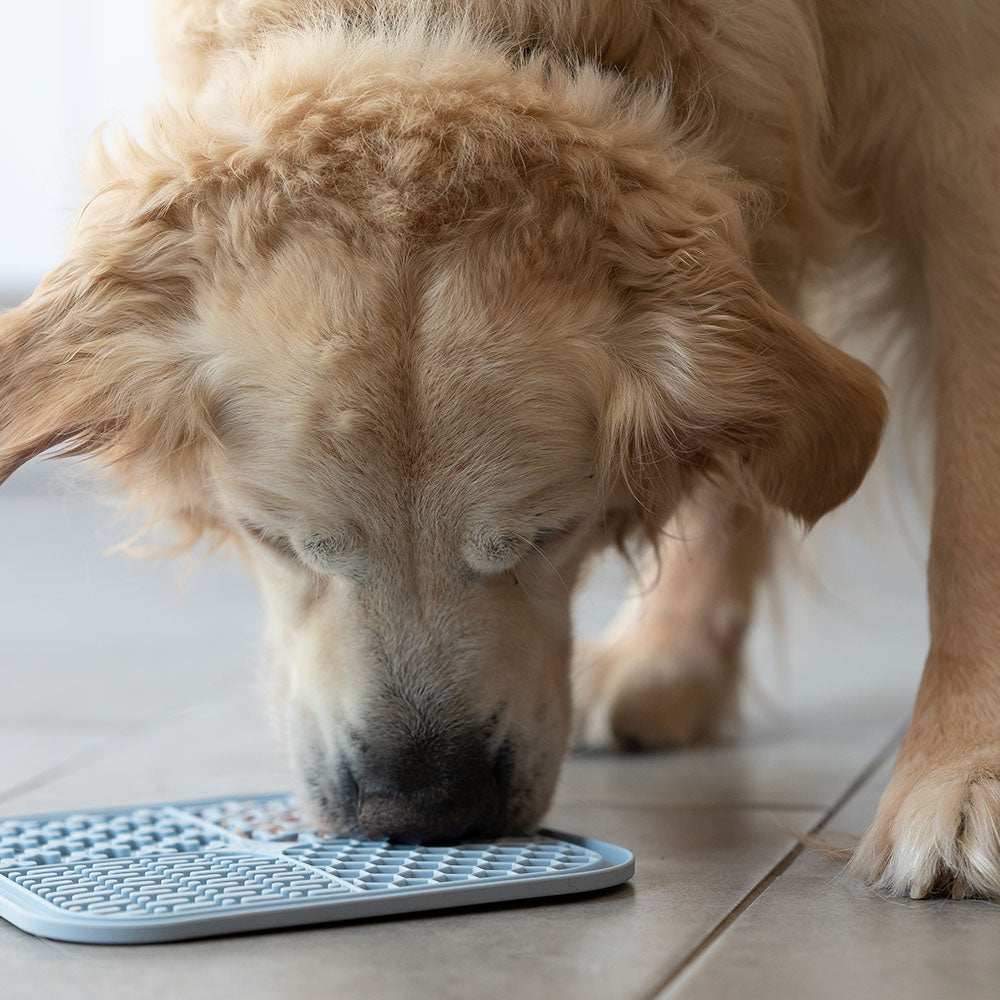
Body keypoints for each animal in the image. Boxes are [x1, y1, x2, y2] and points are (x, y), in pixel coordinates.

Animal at [0, 0, 996, 904]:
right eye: (275, 540)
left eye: (546, 534)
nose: (425, 811)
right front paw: (670, 660)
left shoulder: (957, 126)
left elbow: (968, 521)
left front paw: (963, 773)